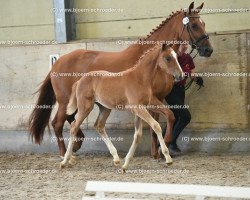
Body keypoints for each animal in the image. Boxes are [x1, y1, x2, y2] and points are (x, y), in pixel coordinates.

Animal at [28, 1, 213, 159]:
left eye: (204, 23)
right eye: (194, 25)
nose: (208, 50)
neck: (152, 60)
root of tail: (58, 62)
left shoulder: (157, 99)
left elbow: (158, 124)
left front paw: (156, 152)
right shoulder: (151, 99)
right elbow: (162, 121)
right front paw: (162, 149)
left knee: (70, 118)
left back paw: (76, 144)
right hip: (65, 100)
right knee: (58, 123)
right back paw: (64, 154)